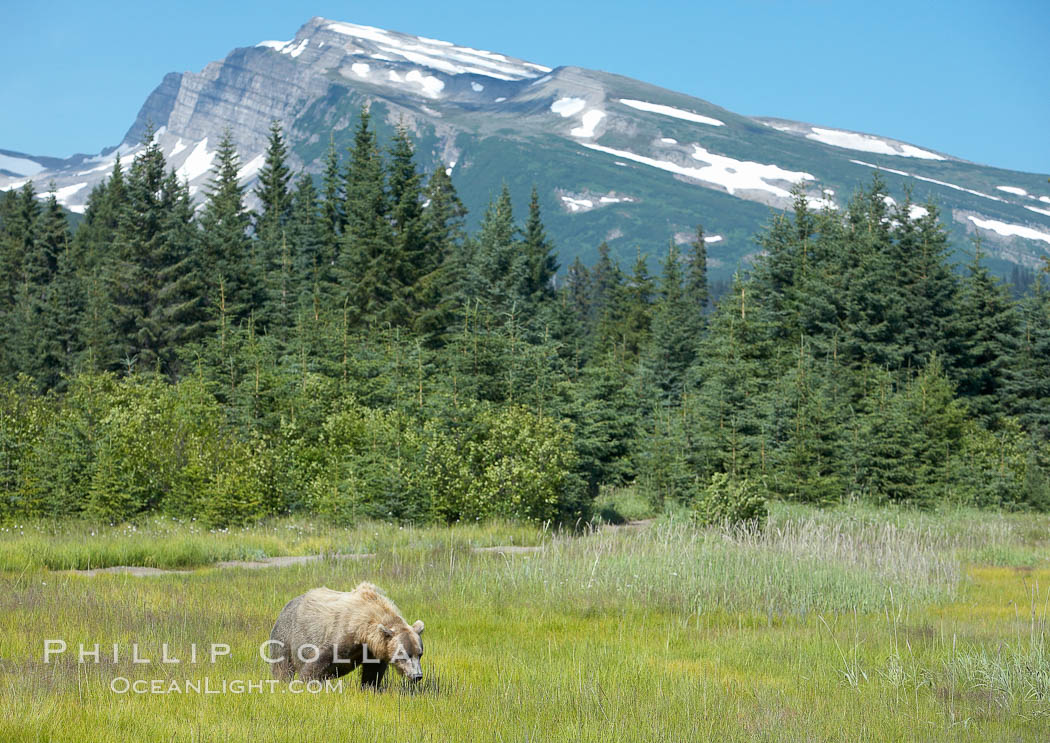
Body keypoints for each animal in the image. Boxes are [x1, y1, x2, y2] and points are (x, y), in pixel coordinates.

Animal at [268, 579, 424, 692]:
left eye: (420, 654)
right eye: (405, 654)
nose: (417, 675)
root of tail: (287, 605)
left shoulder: (373, 649)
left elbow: (372, 671)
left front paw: (369, 688)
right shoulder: (343, 633)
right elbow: (318, 661)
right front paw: (305, 683)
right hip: (286, 634)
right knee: (282, 665)